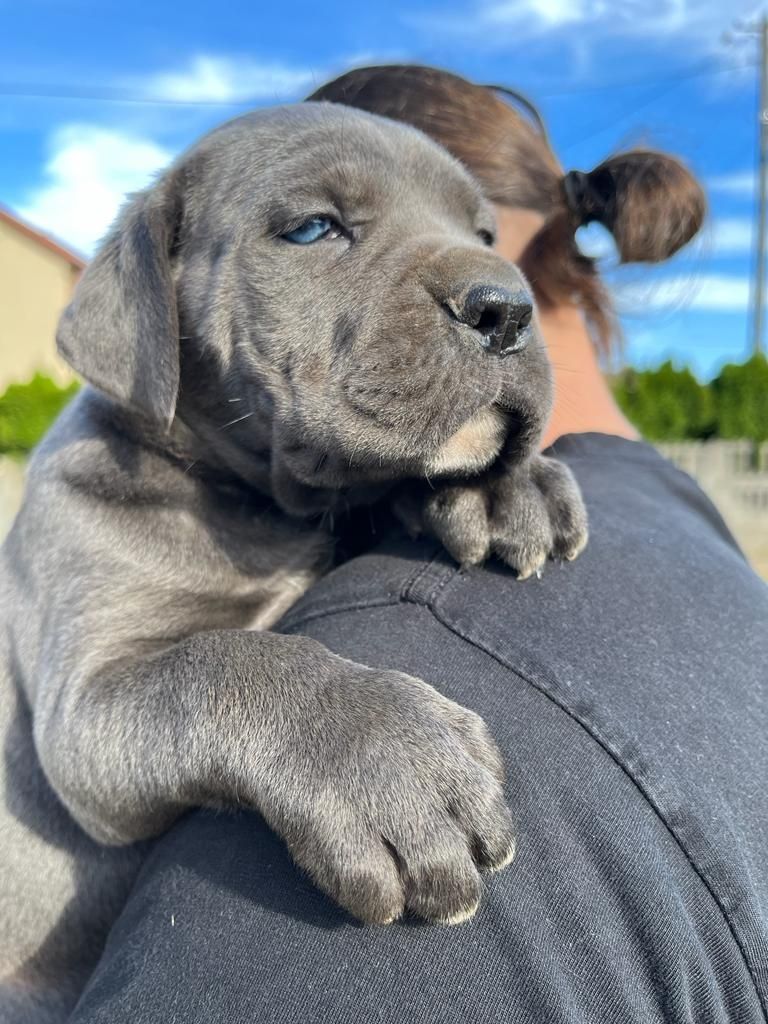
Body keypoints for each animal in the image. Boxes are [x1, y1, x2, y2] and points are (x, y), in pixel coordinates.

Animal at [1, 101, 589, 1015]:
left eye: (484, 231)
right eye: (313, 228)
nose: (507, 308)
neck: (261, 507)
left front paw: (504, 487)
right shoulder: (85, 704)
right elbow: (227, 660)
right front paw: (390, 760)